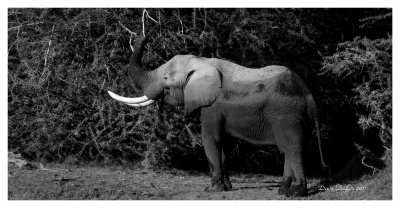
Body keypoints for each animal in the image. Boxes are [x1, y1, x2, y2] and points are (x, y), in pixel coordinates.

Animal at [108, 37, 330, 197]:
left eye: (166, 79)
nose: (147, 37)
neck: (201, 61)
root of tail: (308, 94)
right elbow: (222, 142)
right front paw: (227, 188)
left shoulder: (212, 106)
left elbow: (210, 139)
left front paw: (212, 190)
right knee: (288, 148)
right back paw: (282, 190)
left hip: (287, 113)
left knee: (293, 147)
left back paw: (296, 193)